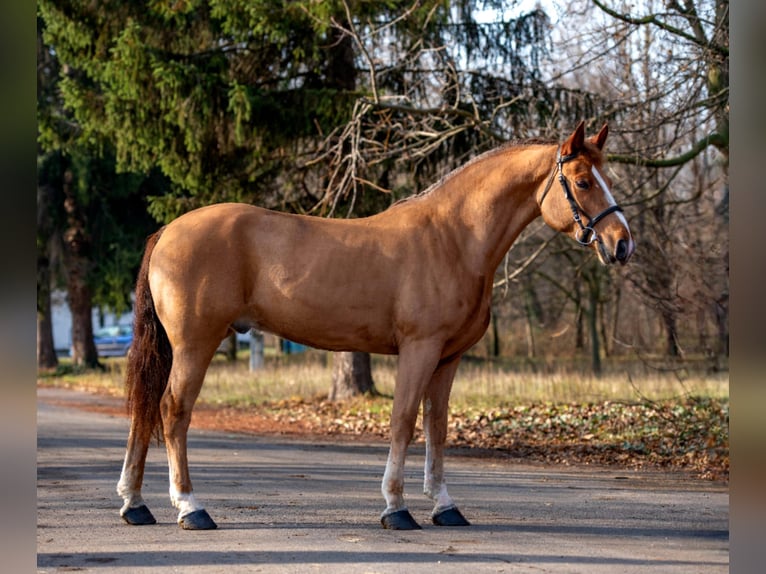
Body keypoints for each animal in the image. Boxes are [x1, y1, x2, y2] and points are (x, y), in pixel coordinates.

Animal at [117, 121, 634, 531]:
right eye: (583, 181)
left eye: (605, 177)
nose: (622, 244)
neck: (454, 238)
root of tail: (168, 231)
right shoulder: (420, 350)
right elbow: (403, 421)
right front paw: (396, 508)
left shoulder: (448, 358)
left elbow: (438, 427)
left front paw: (445, 507)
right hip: (195, 344)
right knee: (173, 410)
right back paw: (190, 508)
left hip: (173, 347)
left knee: (145, 409)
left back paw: (135, 505)